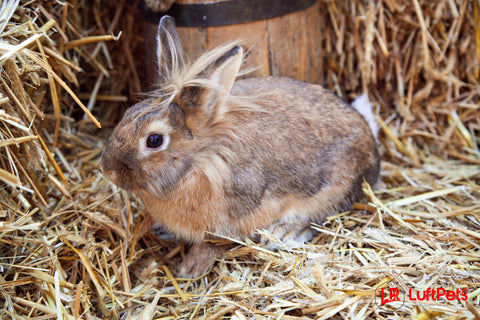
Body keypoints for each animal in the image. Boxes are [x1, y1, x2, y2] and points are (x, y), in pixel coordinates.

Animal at [99, 16, 380, 278]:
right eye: (129, 113)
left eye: (154, 140)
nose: (106, 169)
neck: (200, 160)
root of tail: (369, 136)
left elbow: (214, 243)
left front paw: (191, 268)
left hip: (330, 191)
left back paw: (285, 231)